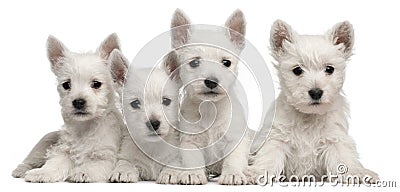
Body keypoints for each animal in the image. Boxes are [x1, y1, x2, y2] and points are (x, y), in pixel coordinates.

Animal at [22, 33, 128, 182]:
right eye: (66, 84)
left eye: (96, 84)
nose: (78, 102)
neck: (84, 127)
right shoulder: (63, 151)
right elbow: (55, 163)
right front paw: (41, 173)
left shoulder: (105, 156)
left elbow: (93, 165)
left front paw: (82, 172)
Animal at [108, 55, 180, 183]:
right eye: (135, 103)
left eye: (166, 101)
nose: (154, 123)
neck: (152, 147)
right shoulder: (126, 154)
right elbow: (125, 161)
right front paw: (124, 171)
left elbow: (176, 162)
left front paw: (171, 172)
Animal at [167, 9, 252, 184]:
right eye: (194, 63)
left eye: (226, 62)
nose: (211, 82)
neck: (209, 108)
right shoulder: (190, 142)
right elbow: (193, 159)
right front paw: (193, 174)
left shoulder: (236, 140)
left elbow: (233, 159)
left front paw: (233, 174)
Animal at [245, 20, 380, 184]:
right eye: (297, 70)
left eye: (329, 69)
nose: (316, 92)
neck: (309, 116)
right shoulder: (277, 138)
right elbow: (268, 157)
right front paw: (256, 173)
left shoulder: (334, 138)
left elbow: (343, 158)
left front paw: (356, 173)